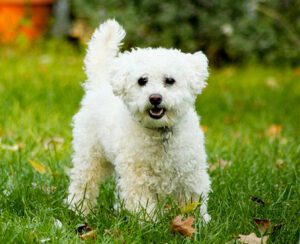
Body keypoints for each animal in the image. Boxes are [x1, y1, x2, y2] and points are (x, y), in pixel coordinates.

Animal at [66, 20, 211, 222]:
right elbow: (141, 202)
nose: (155, 98)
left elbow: (193, 200)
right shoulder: (137, 176)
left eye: (170, 80)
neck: (160, 132)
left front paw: (196, 222)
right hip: (89, 154)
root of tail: (98, 86)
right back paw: (78, 209)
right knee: (84, 182)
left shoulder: (191, 173)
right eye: (142, 80)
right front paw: (148, 222)